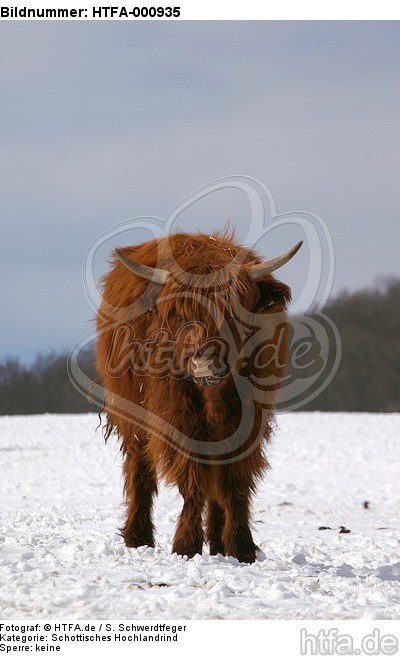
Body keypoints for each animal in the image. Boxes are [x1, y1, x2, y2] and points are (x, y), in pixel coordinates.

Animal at [96, 229, 302, 563]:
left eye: (234, 313)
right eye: (180, 316)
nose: (205, 363)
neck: (215, 399)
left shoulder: (249, 425)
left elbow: (233, 484)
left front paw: (241, 547)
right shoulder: (178, 420)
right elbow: (192, 482)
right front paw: (186, 545)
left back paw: (217, 543)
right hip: (132, 417)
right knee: (140, 470)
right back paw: (138, 537)